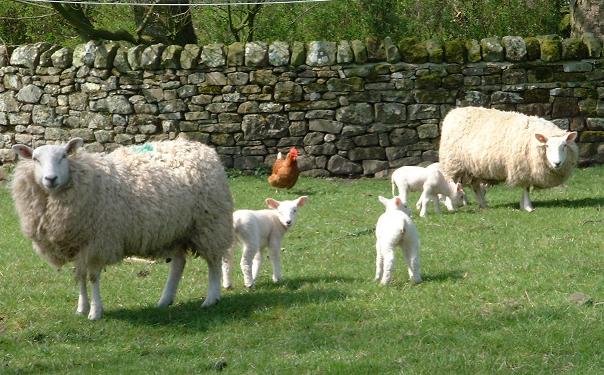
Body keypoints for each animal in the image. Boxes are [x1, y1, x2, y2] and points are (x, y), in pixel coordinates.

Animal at [12, 138, 234, 320]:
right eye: (35, 159)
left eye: (64, 156)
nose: (50, 179)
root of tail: (203, 148)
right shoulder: (78, 244)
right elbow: (80, 276)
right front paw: (81, 308)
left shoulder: (98, 242)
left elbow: (92, 277)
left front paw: (95, 312)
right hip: (175, 229)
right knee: (179, 263)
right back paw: (165, 300)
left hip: (210, 223)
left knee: (214, 261)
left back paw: (211, 298)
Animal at [442, 107, 580, 213]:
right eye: (547, 146)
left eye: (564, 146)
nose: (557, 163)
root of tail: (453, 112)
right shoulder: (523, 167)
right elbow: (526, 187)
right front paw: (528, 207)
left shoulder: (527, 170)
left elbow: (526, 187)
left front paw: (523, 204)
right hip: (452, 163)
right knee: (450, 183)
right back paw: (450, 207)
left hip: (473, 167)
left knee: (475, 186)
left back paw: (483, 205)